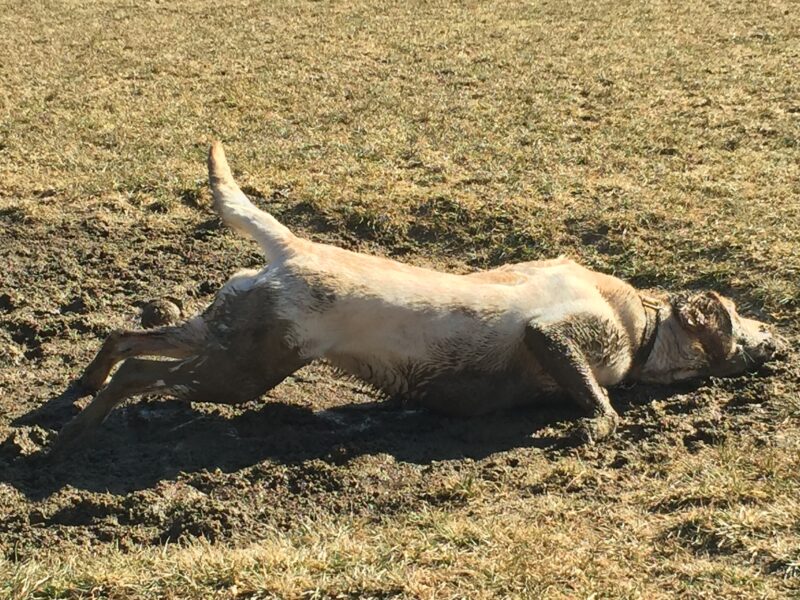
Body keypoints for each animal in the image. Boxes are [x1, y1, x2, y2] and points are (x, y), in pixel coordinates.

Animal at [50, 139, 776, 450]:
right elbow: (599, 397)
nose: (780, 336)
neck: (645, 329)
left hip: (231, 336)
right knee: (142, 372)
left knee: (126, 341)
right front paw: (599, 424)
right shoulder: (556, 330)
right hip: (242, 368)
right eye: (741, 315)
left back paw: (79, 393)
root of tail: (294, 249)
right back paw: (80, 428)